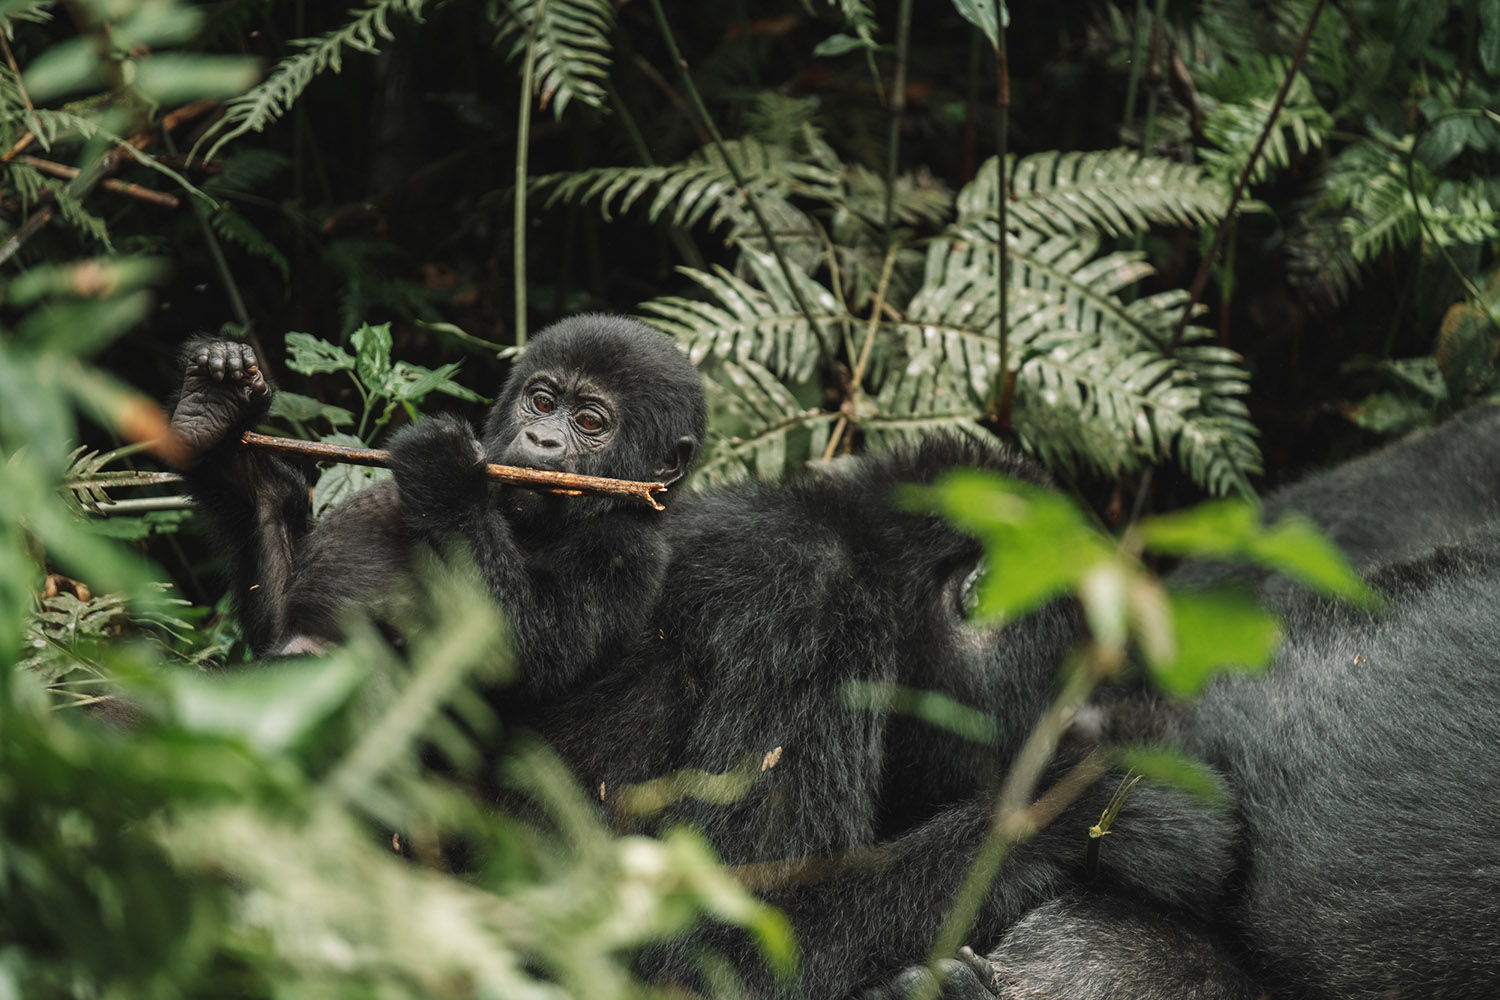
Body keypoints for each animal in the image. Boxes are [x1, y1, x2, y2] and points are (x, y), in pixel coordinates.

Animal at [167, 313, 705, 695]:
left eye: (591, 423)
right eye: (543, 403)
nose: (542, 439)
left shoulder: (629, 551)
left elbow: (518, 650)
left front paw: (446, 473)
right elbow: (275, 618)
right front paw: (221, 409)